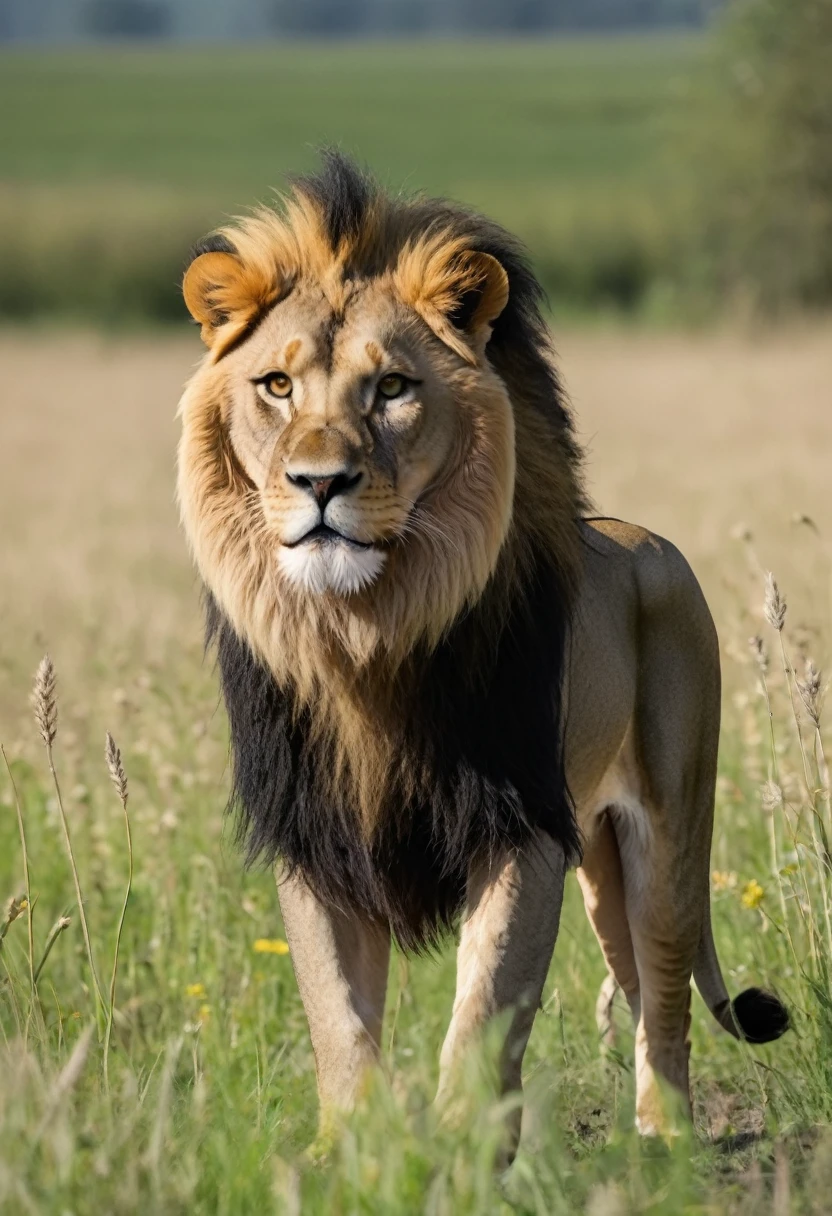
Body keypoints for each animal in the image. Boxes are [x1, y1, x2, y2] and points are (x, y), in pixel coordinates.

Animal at [175, 152, 788, 1147]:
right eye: (275, 386)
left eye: (391, 388)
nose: (318, 482)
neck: (366, 636)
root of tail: (646, 539)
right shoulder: (315, 838)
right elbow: (337, 1018)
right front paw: (354, 1153)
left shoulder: (520, 822)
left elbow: (487, 1006)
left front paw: (465, 1152)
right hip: (598, 858)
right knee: (630, 970)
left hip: (668, 826)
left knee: (664, 985)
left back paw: (666, 1142)